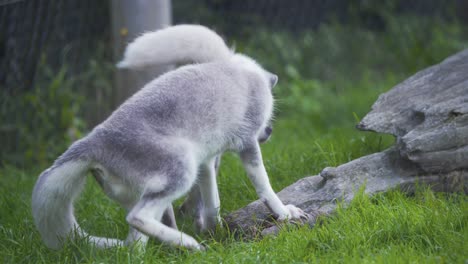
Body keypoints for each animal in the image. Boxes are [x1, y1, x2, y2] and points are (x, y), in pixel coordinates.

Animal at [32, 24, 308, 250]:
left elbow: (212, 202)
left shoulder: (206, 162)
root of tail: (91, 142)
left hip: (149, 190)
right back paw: (189, 244)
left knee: (133, 245)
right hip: (181, 170)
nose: (269, 132)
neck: (241, 71)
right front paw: (285, 213)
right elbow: (265, 187)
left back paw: (174, 248)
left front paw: (214, 229)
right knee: (137, 218)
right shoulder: (247, 143)